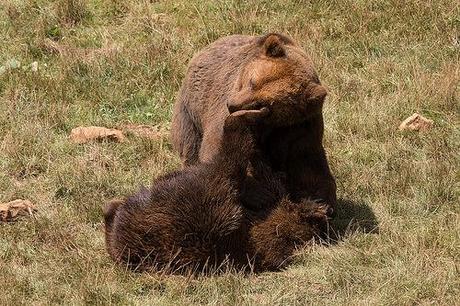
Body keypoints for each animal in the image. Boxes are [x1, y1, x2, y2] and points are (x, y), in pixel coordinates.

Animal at [171, 32, 336, 215]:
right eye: (252, 82)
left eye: (264, 104)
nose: (231, 105)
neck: (270, 126)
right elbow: (219, 147)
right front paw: (260, 194)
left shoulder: (299, 126)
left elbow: (307, 163)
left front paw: (322, 203)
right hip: (191, 112)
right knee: (191, 147)